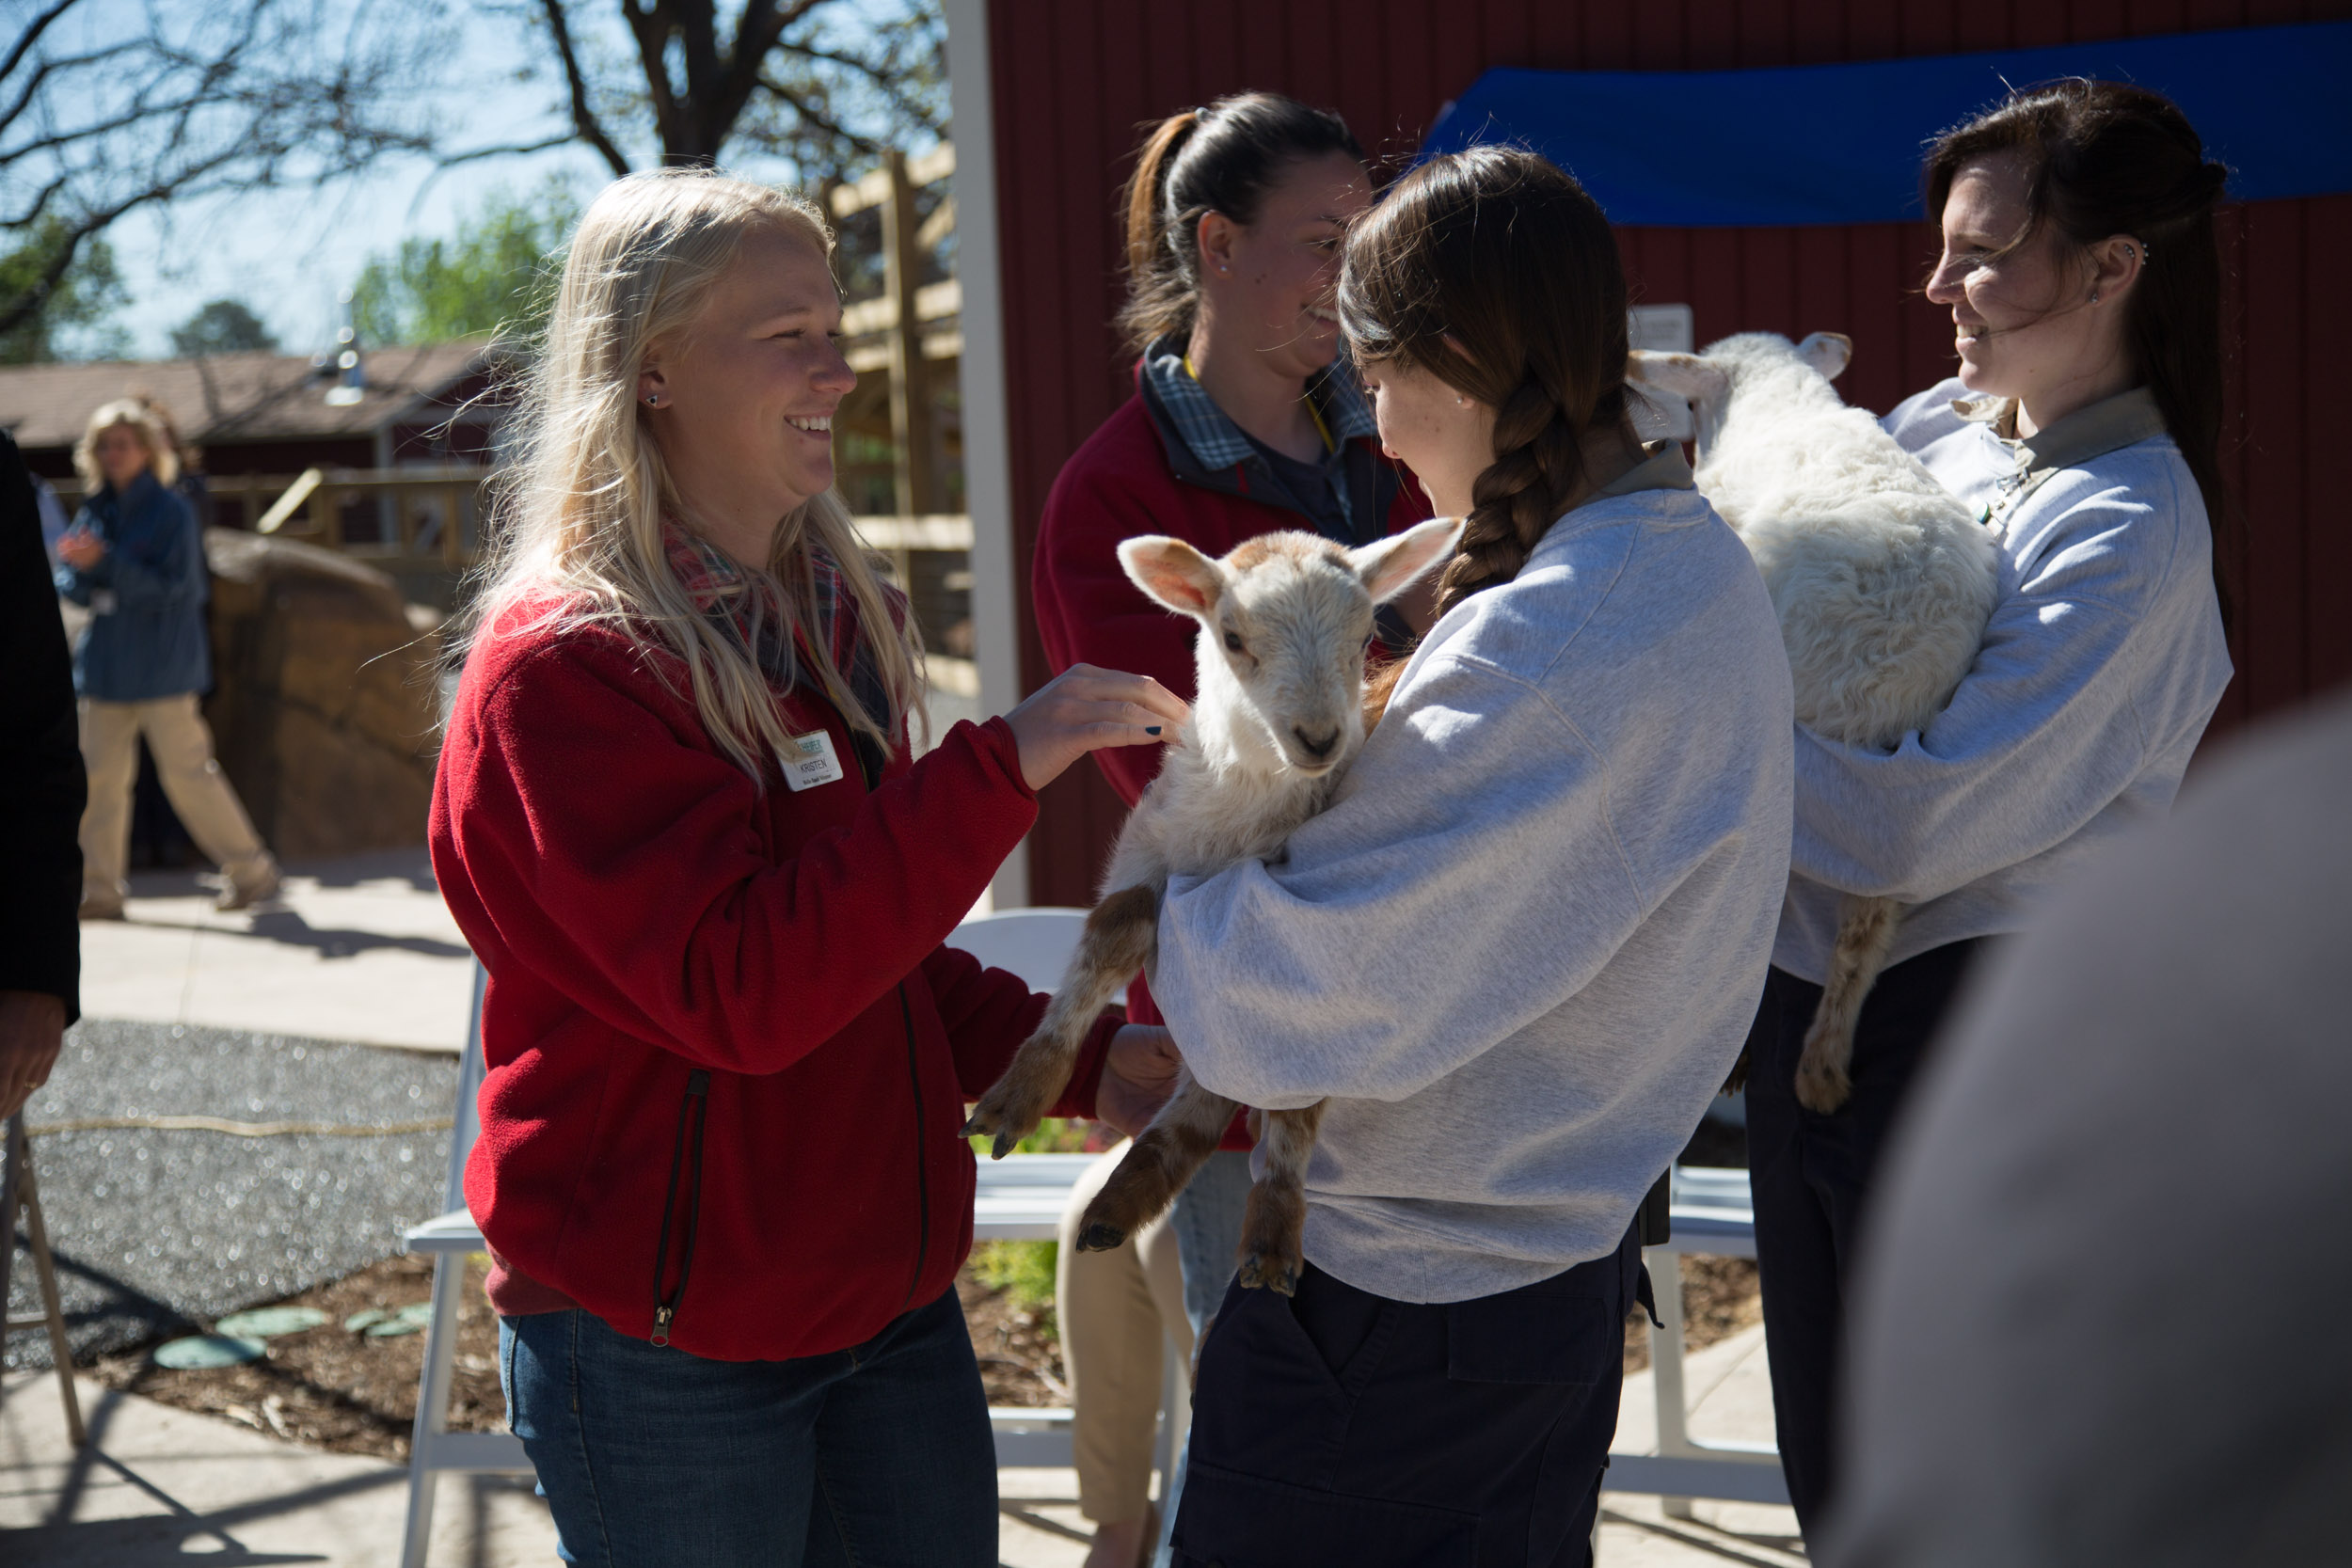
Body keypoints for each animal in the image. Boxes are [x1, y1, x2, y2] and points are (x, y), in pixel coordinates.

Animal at [964, 521, 1458, 1297]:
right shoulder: (1146, 846)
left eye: (1364, 635)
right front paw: (1019, 1095)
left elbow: (1295, 1087)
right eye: (1232, 636)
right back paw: (1112, 1207)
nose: (1321, 737)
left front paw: (1275, 1230)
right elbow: (1118, 928)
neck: (1236, 826)